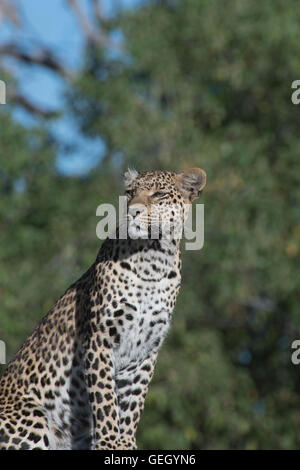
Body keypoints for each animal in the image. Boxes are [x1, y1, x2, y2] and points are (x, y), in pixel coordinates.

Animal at [0, 167, 206, 450]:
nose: (133, 210)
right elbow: (105, 399)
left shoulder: (145, 351)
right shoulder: (99, 339)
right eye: (130, 193)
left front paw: (125, 443)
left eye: (159, 194)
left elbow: (133, 403)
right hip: (33, 419)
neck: (154, 260)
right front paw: (109, 443)